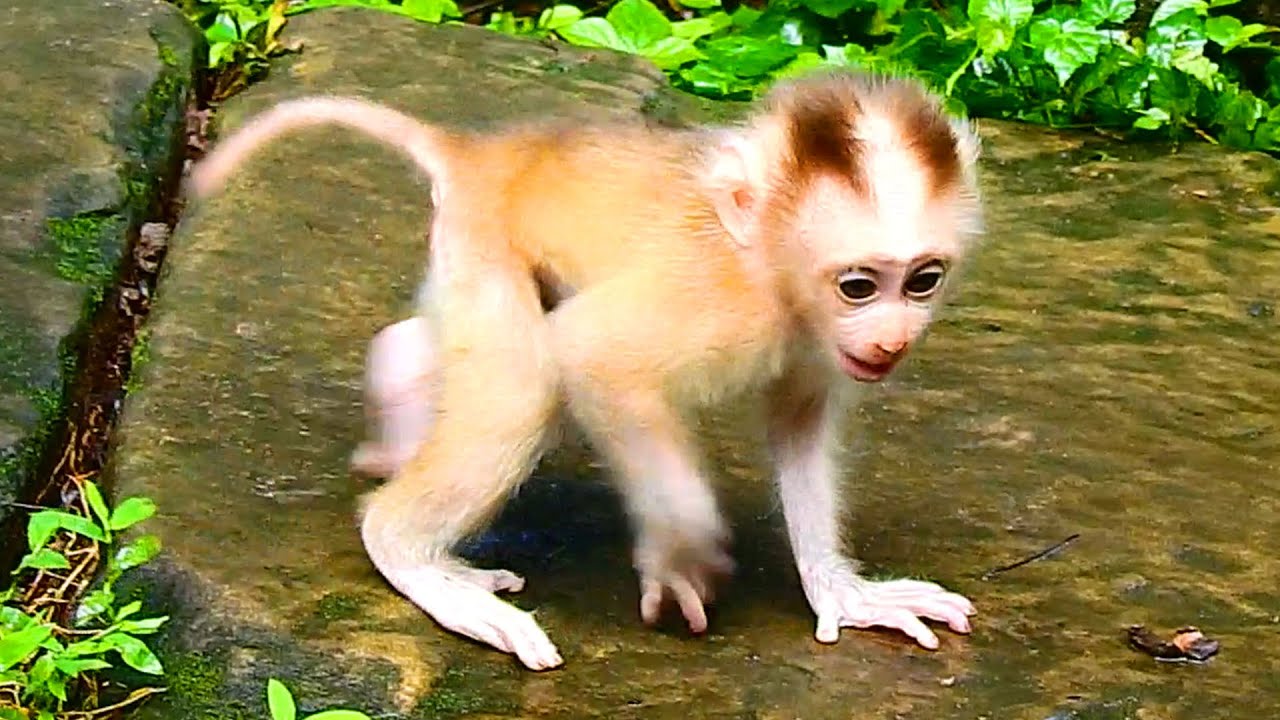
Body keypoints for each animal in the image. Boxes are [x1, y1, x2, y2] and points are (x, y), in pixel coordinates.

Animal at [188, 68, 984, 671]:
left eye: (922, 280)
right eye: (859, 286)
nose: (893, 339)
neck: (769, 266)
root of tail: (485, 154)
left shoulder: (817, 346)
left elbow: (798, 425)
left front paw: (842, 594)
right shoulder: (721, 300)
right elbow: (590, 354)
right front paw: (680, 552)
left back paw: (397, 403)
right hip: (483, 238)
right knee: (524, 387)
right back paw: (409, 555)